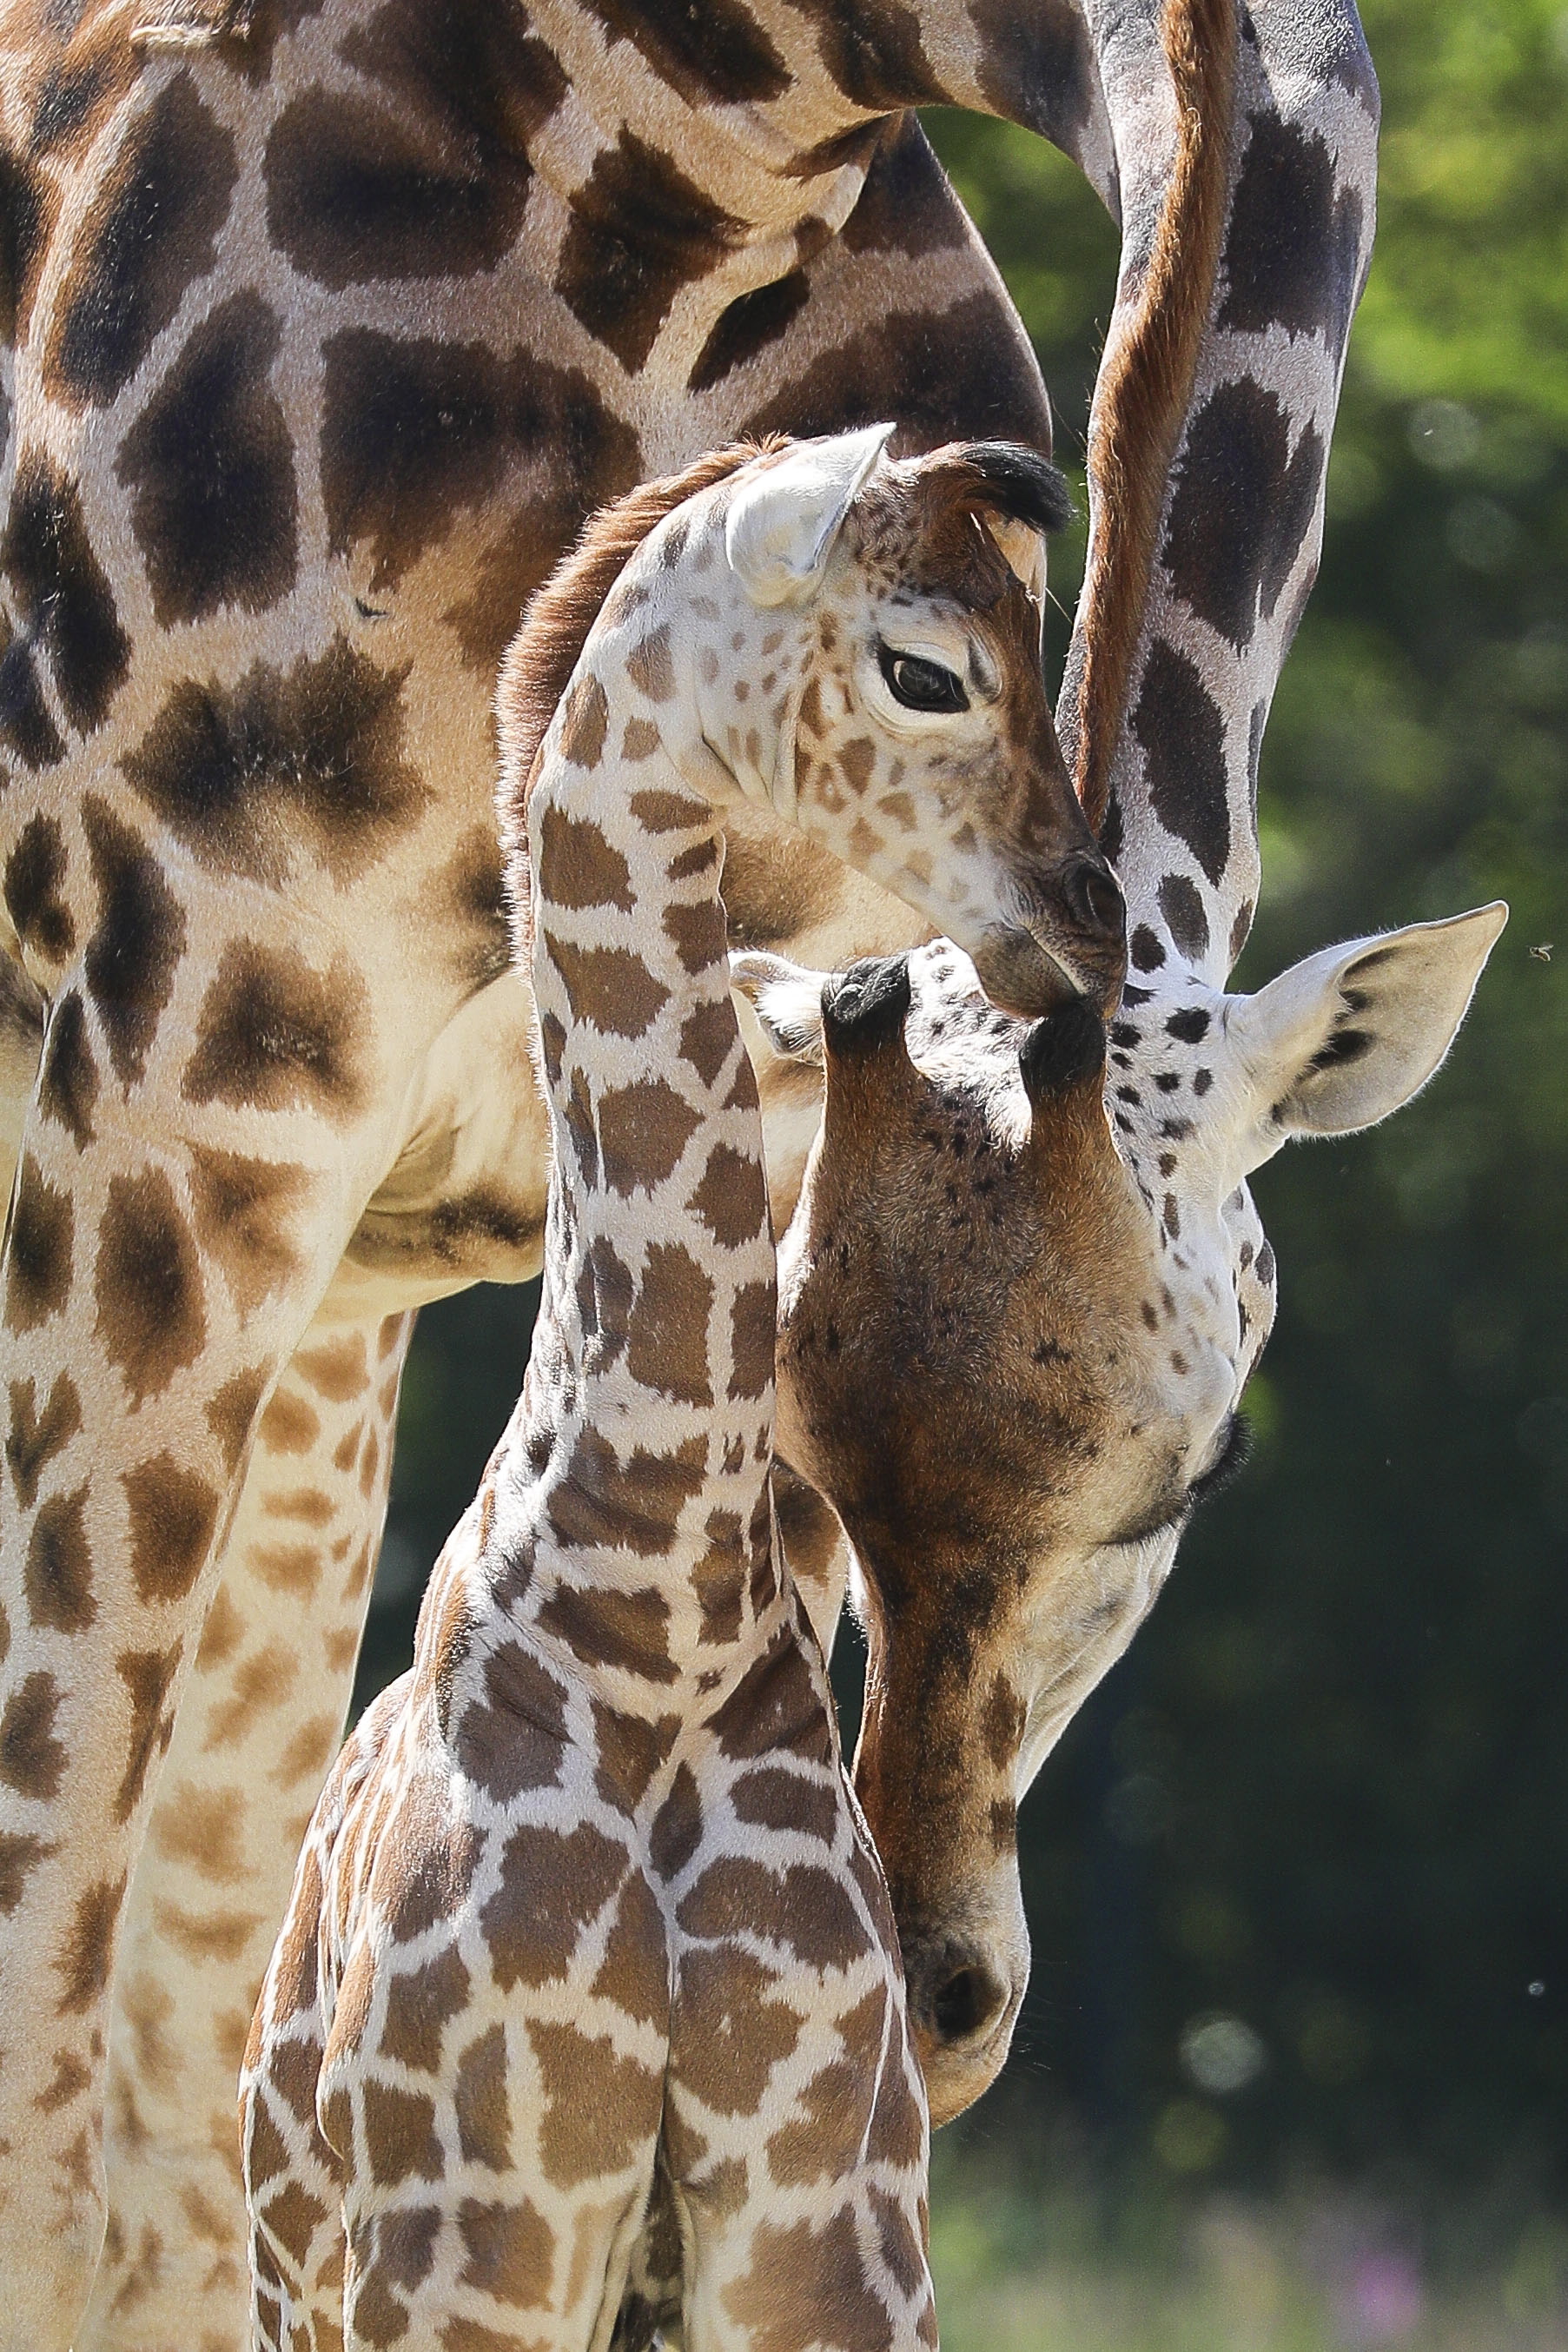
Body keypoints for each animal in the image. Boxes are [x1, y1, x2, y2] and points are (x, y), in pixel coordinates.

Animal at [245, 427, 1104, 2352]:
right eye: (928, 670)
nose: (1084, 923)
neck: (656, 1602)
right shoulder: (475, 2236)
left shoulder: (831, 2230)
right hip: (318, 2275)